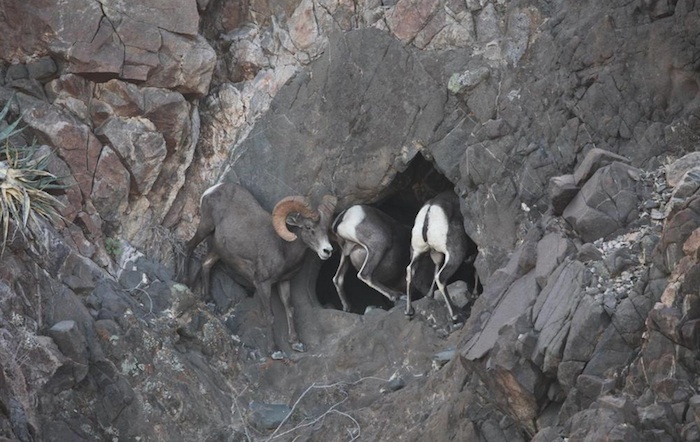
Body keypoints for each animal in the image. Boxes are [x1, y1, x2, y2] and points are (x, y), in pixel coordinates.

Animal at [183, 181, 336, 358]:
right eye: (308, 227)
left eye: (326, 229)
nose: (327, 251)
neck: (283, 248)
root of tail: (213, 189)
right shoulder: (263, 284)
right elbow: (270, 316)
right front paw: (275, 351)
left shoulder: (284, 281)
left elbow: (289, 309)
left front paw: (296, 343)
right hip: (205, 227)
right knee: (188, 247)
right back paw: (184, 282)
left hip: (218, 249)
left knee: (206, 263)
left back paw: (208, 301)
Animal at [402, 192, 478, 322]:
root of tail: (429, 211)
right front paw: (475, 294)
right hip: (454, 254)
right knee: (440, 277)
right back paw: (455, 315)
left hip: (419, 252)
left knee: (411, 270)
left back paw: (410, 311)